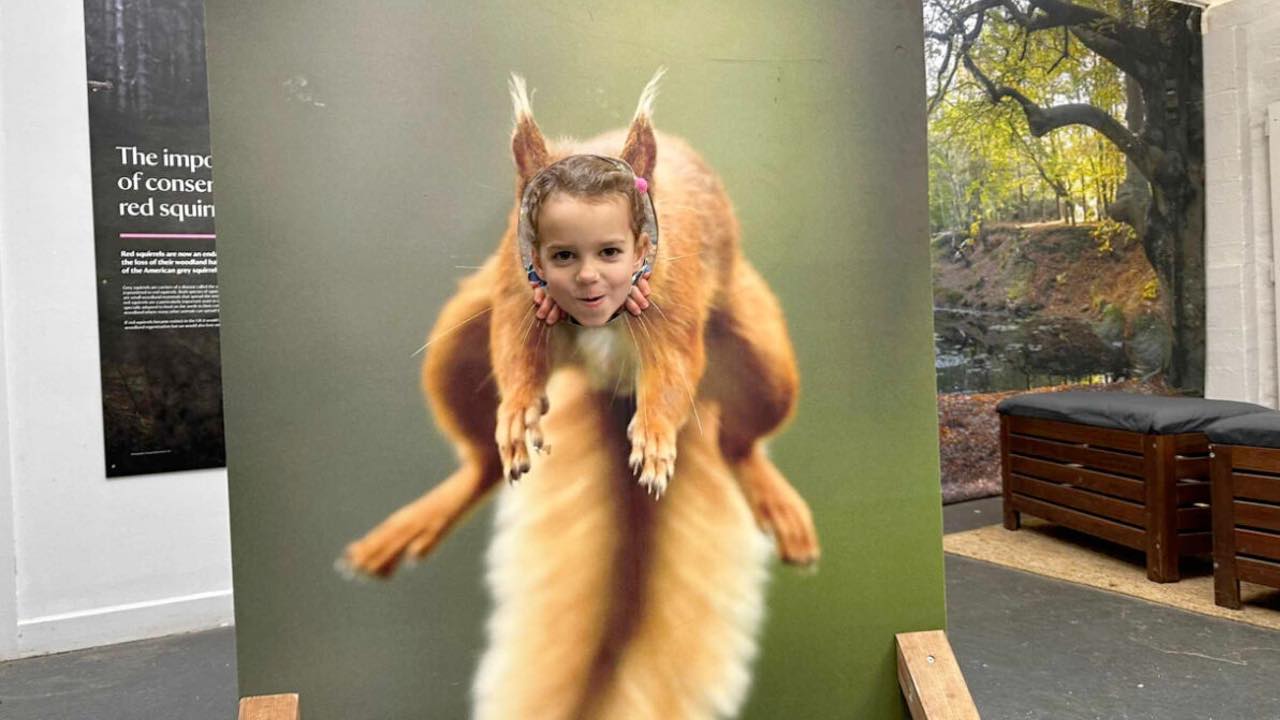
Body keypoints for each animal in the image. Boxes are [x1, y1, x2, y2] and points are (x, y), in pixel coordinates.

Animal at [343, 70, 820, 719]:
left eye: (615, 245)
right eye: (548, 242)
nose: (586, 278)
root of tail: (607, 384)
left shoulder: (675, 298)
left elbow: (674, 372)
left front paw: (654, 441)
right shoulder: (514, 292)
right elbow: (514, 355)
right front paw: (519, 411)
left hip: (763, 358)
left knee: (738, 442)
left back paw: (775, 501)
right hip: (455, 347)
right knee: (483, 463)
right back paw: (423, 517)